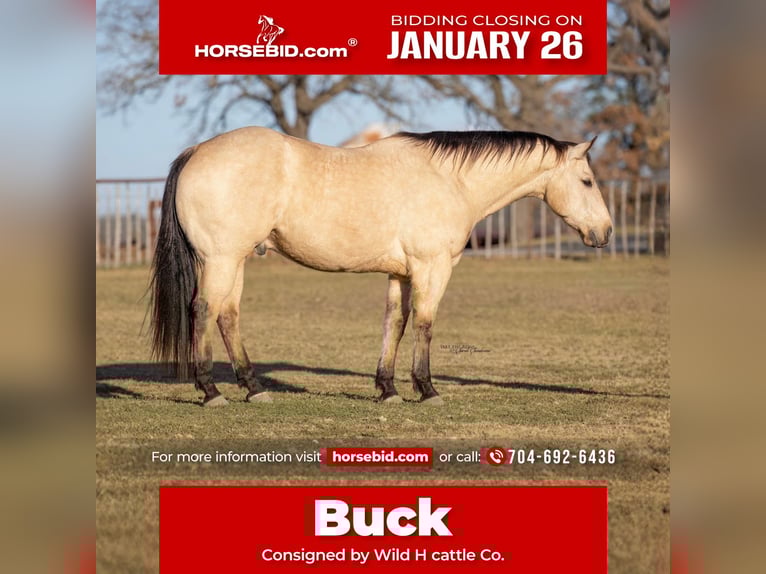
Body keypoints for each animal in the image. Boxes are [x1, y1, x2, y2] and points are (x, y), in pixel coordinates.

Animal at [149, 127, 613, 407]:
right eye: (587, 181)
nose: (605, 231)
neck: (448, 179)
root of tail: (196, 151)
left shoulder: (401, 274)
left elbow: (396, 323)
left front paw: (388, 389)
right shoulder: (431, 268)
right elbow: (425, 323)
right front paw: (427, 389)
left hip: (236, 260)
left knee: (228, 316)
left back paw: (253, 388)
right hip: (221, 259)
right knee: (203, 311)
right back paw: (211, 391)